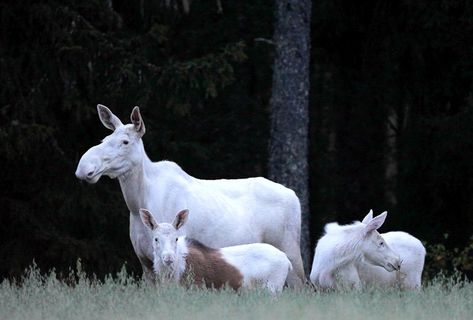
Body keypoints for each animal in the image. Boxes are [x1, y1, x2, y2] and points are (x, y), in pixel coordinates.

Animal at [75, 104, 304, 284]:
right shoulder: (145, 262)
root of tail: (295, 196)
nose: (84, 167)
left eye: (125, 141)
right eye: (105, 138)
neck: (137, 202)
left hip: (290, 250)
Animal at [138, 209, 292, 294]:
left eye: (176, 238)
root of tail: (287, 261)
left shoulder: (196, 286)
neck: (171, 273)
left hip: (273, 286)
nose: (169, 257)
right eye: (156, 239)